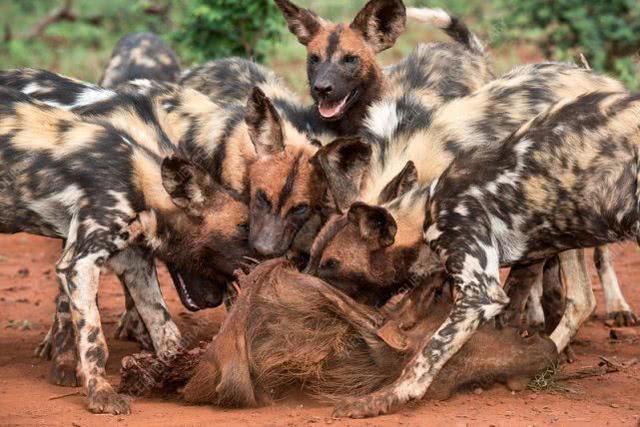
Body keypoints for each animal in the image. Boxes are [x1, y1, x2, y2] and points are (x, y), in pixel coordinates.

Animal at [330, 89, 640, 418]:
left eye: (331, 263)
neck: (427, 208)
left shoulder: (481, 293)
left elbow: (427, 355)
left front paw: (384, 398)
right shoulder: (519, 262)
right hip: (571, 230)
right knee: (582, 300)